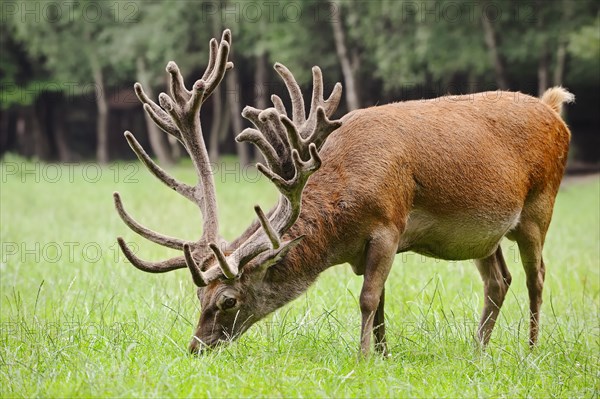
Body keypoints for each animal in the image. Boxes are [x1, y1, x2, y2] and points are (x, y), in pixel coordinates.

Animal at [113, 29, 576, 358]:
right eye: (198, 294)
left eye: (228, 300)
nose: (196, 347)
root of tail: (553, 109)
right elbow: (382, 303)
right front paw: (384, 355)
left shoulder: (389, 224)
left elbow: (368, 299)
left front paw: (363, 357)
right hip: (484, 235)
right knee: (499, 281)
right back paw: (479, 351)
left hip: (540, 207)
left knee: (537, 276)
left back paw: (531, 350)